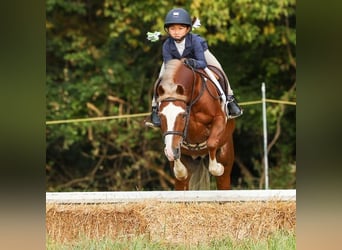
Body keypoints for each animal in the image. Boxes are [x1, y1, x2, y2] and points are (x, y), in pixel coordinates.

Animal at [157, 59, 235, 190]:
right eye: (160, 115)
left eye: (183, 115)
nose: (171, 153)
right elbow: (175, 147)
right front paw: (180, 170)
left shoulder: (219, 118)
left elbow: (211, 143)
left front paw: (217, 168)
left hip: (225, 156)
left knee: (223, 177)